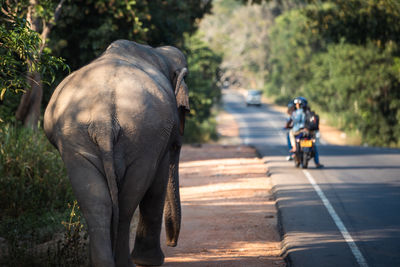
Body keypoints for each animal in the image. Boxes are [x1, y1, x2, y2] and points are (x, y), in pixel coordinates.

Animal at [43, 39, 189, 267]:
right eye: (175, 146)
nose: (172, 242)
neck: (158, 53)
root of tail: (103, 115)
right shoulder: (160, 140)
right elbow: (158, 182)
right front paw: (151, 262)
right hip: (140, 137)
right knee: (126, 201)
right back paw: (124, 263)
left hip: (76, 139)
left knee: (97, 203)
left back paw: (104, 262)